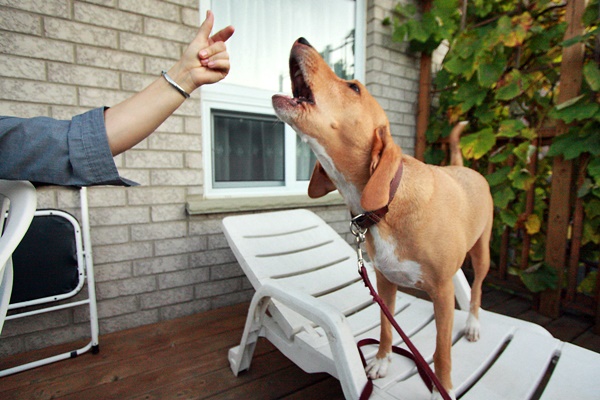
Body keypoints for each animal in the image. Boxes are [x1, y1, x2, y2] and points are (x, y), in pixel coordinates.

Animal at [272, 38, 492, 400]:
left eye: (354, 87)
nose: (302, 40)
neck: (389, 203)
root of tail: (465, 168)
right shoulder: (385, 282)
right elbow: (386, 326)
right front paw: (382, 360)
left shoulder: (443, 292)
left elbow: (442, 350)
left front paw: (442, 386)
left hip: (482, 253)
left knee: (476, 290)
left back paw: (473, 323)